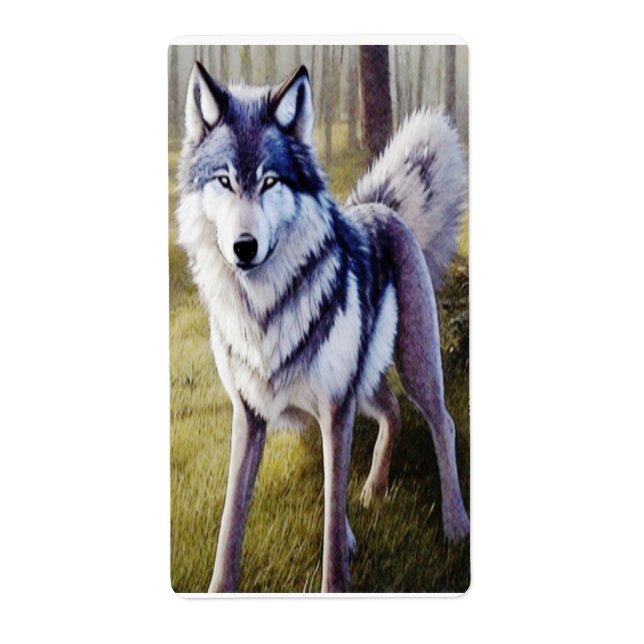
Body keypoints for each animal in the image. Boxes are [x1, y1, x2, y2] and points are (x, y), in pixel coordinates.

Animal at [175, 61, 470, 593]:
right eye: (224, 181)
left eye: (270, 182)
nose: (244, 247)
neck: (264, 312)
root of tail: (380, 206)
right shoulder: (251, 415)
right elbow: (231, 522)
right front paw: (219, 588)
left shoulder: (335, 408)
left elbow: (330, 521)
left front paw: (337, 578)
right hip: (361, 385)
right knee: (393, 412)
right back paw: (373, 489)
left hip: (412, 369)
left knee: (443, 423)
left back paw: (456, 524)